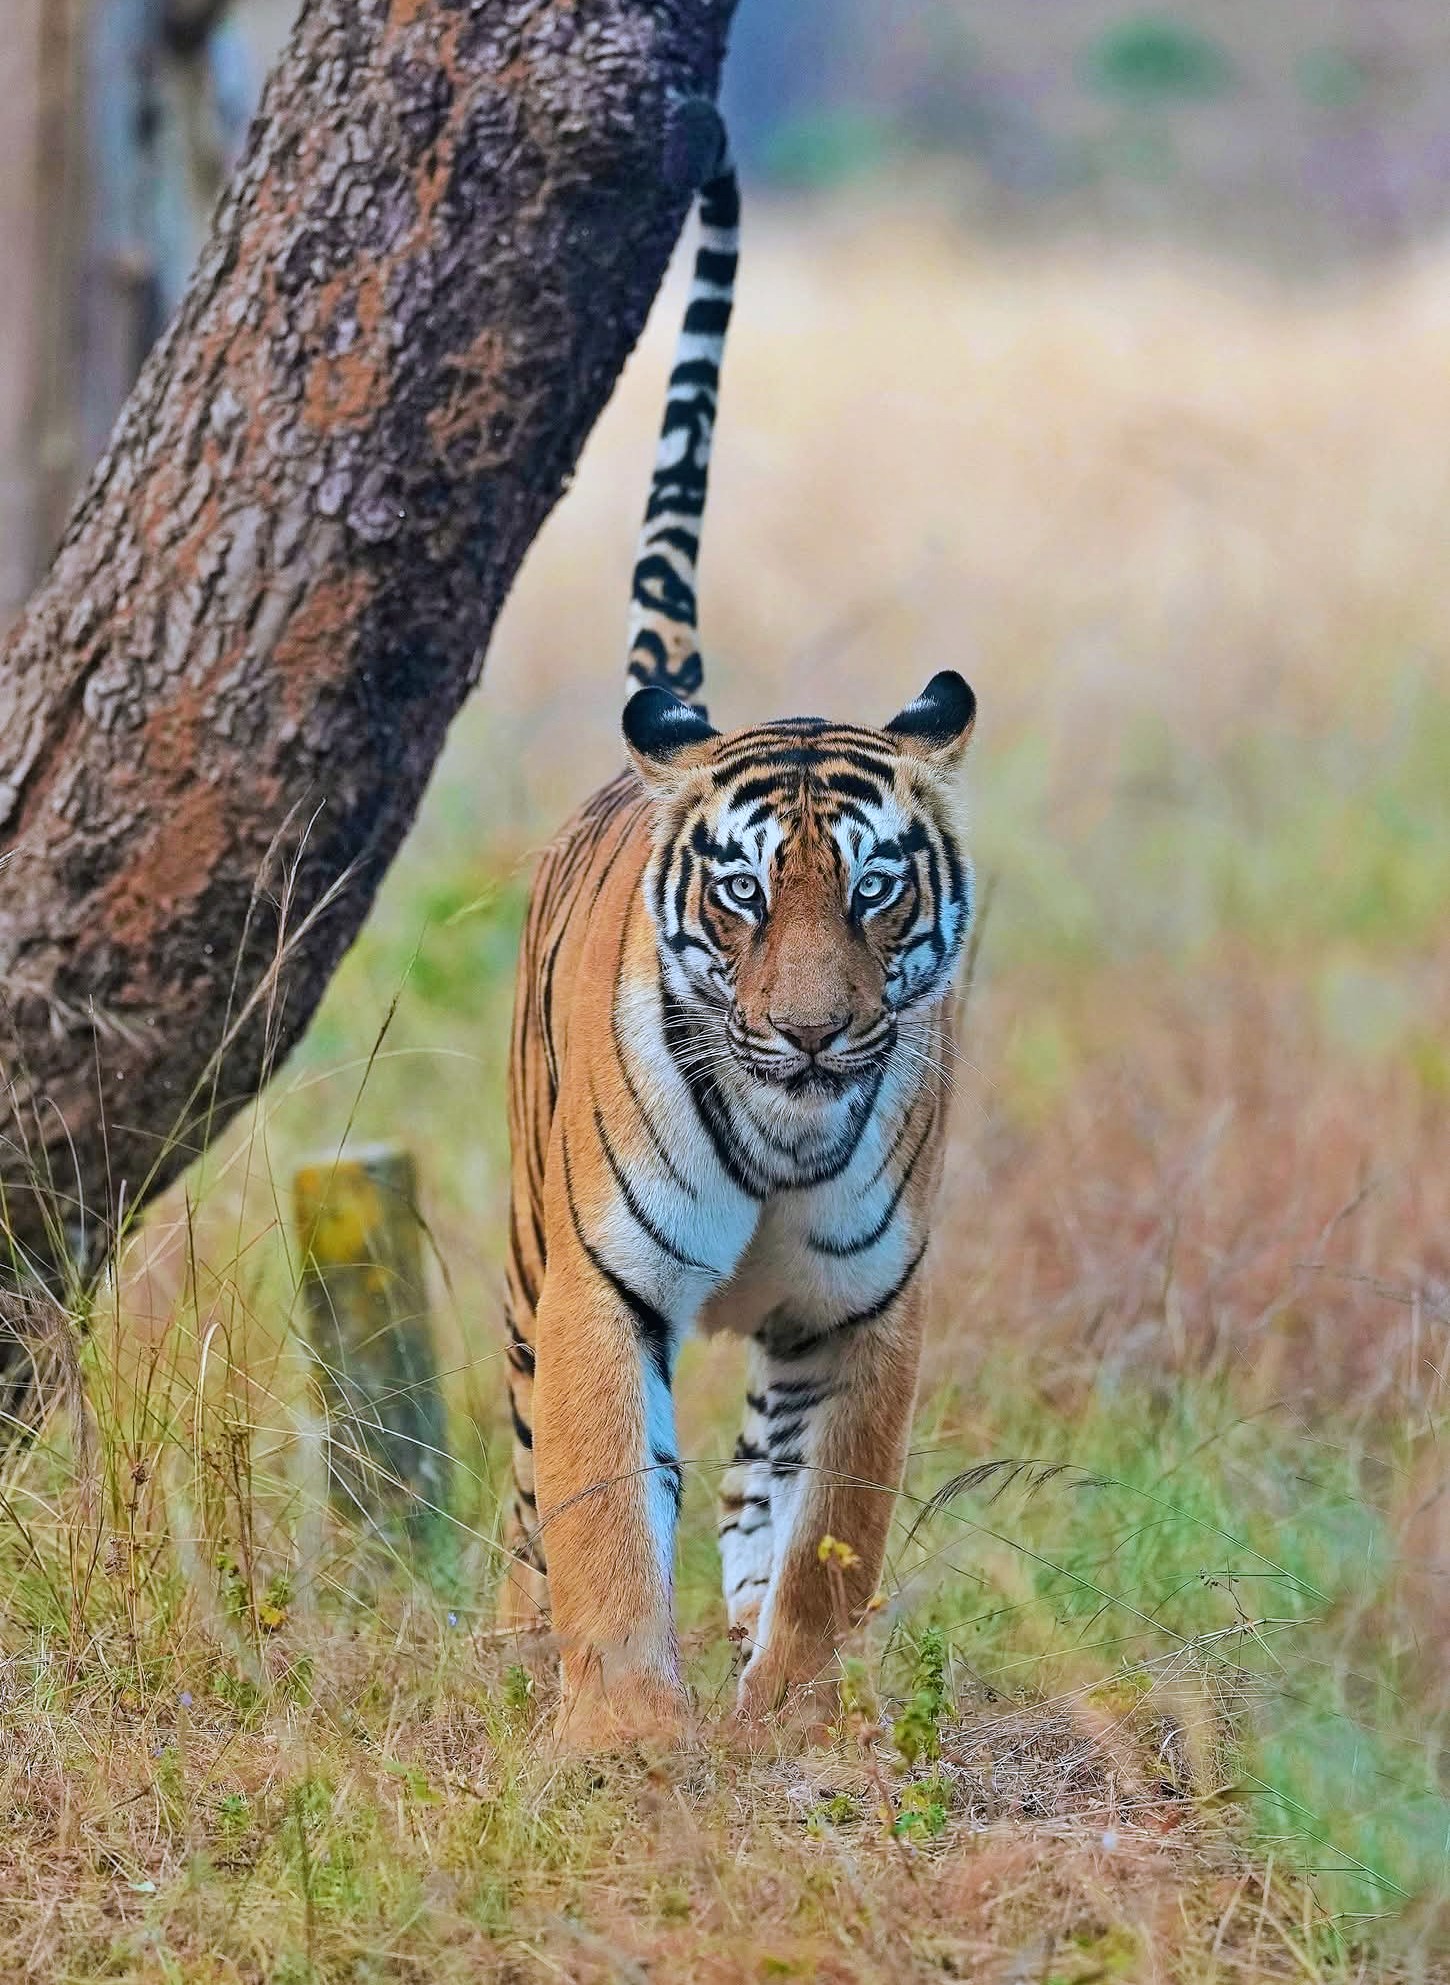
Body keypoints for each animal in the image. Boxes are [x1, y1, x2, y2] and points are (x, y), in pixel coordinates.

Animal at [498, 139, 976, 1747]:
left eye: (875, 889)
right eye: (748, 896)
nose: (817, 1031)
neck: (783, 1128)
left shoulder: (867, 1309)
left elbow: (833, 1532)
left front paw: (791, 1725)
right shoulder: (598, 1285)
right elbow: (597, 1506)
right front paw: (627, 1735)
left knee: (751, 1485)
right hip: (527, 1254)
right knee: (528, 1487)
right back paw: (514, 1653)